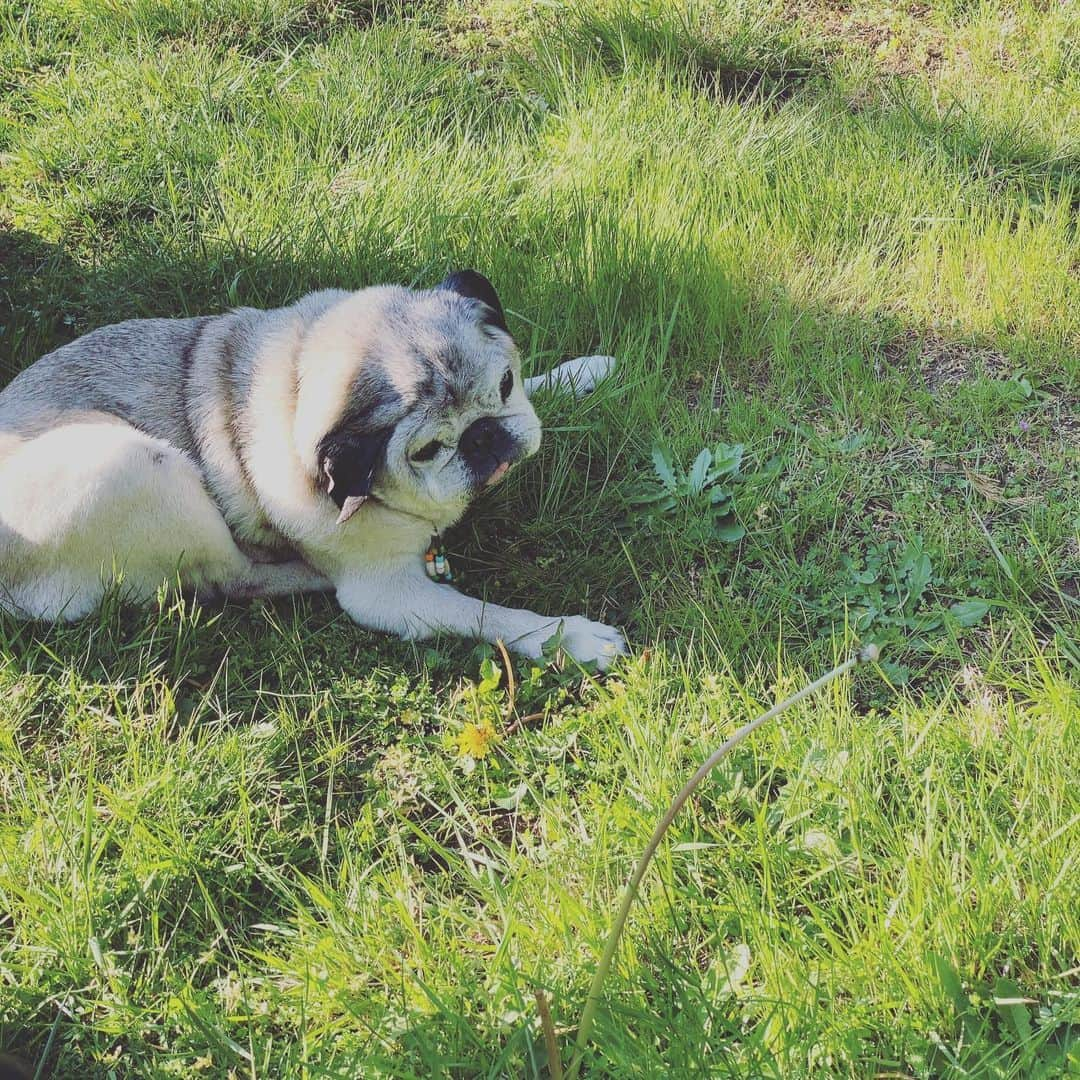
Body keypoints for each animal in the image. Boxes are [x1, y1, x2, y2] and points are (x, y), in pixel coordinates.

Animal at [0, 270, 630, 669]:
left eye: (505, 384)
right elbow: (490, 616)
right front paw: (567, 636)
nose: (482, 438)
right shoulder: (389, 595)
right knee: (235, 578)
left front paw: (580, 373)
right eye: (426, 451)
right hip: (144, 469)